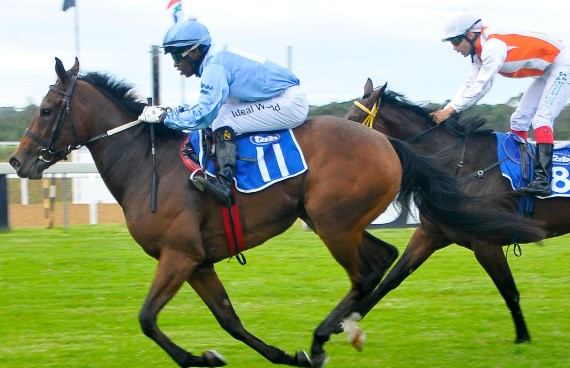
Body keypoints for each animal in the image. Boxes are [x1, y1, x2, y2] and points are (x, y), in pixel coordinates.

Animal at [7, 59, 540, 366]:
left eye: (49, 109)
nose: (18, 161)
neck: (145, 163)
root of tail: (387, 141)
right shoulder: (196, 261)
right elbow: (229, 320)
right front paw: (277, 354)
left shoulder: (178, 256)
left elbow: (147, 319)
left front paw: (201, 359)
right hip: (339, 221)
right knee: (383, 260)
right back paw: (332, 334)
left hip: (332, 221)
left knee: (368, 270)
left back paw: (326, 336)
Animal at [344, 78, 564, 344]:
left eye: (353, 118)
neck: (460, 166)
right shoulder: (431, 234)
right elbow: (392, 278)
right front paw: (347, 322)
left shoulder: (486, 243)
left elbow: (509, 291)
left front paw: (523, 338)